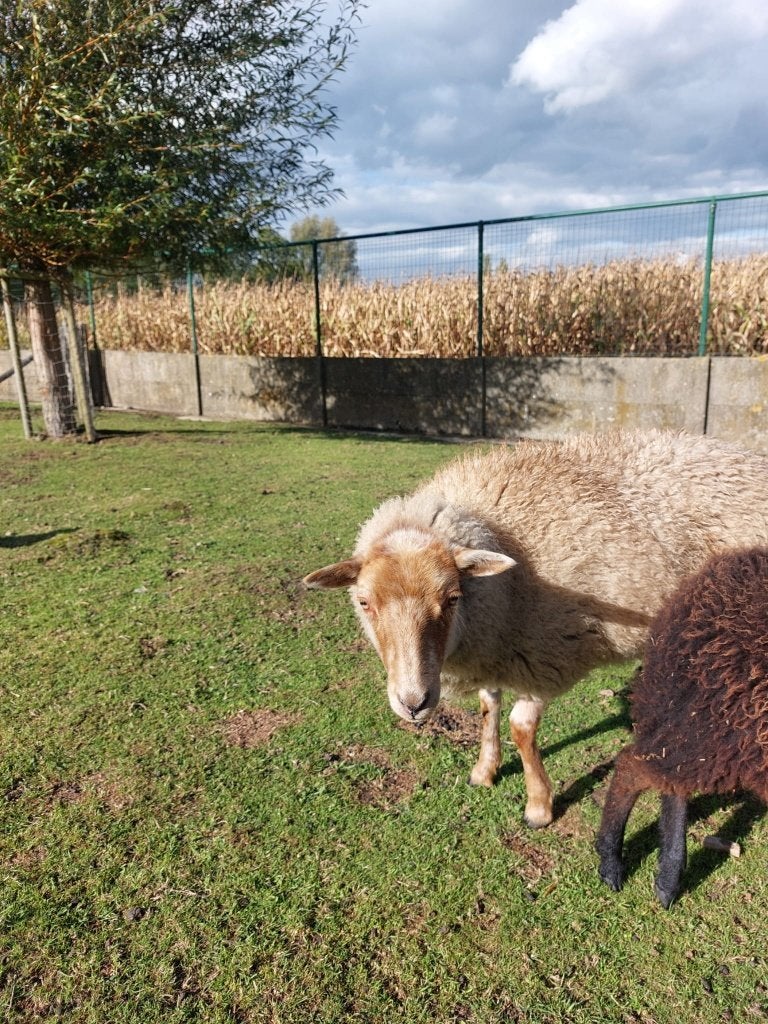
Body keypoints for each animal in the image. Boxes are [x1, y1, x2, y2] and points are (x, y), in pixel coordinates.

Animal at [303, 429, 768, 829]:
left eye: (453, 597)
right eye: (364, 602)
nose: (414, 703)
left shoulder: (544, 656)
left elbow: (521, 729)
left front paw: (539, 805)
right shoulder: (496, 647)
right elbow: (488, 706)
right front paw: (484, 770)